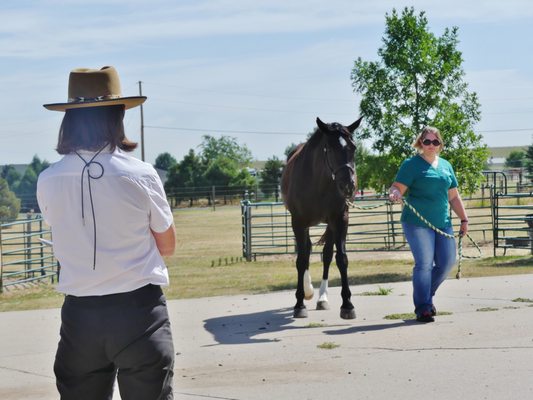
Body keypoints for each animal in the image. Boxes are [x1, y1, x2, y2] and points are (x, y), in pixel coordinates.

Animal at [280, 116, 360, 318]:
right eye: (330, 148)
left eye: (353, 147)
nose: (348, 186)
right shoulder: (298, 222)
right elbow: (301, 260)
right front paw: (299, 303)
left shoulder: (340, 219)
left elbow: (341, 258)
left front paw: (347, 305)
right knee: (306, 251)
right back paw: (307, 291)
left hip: (330, 225)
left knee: (327, 255)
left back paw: (322, 298)